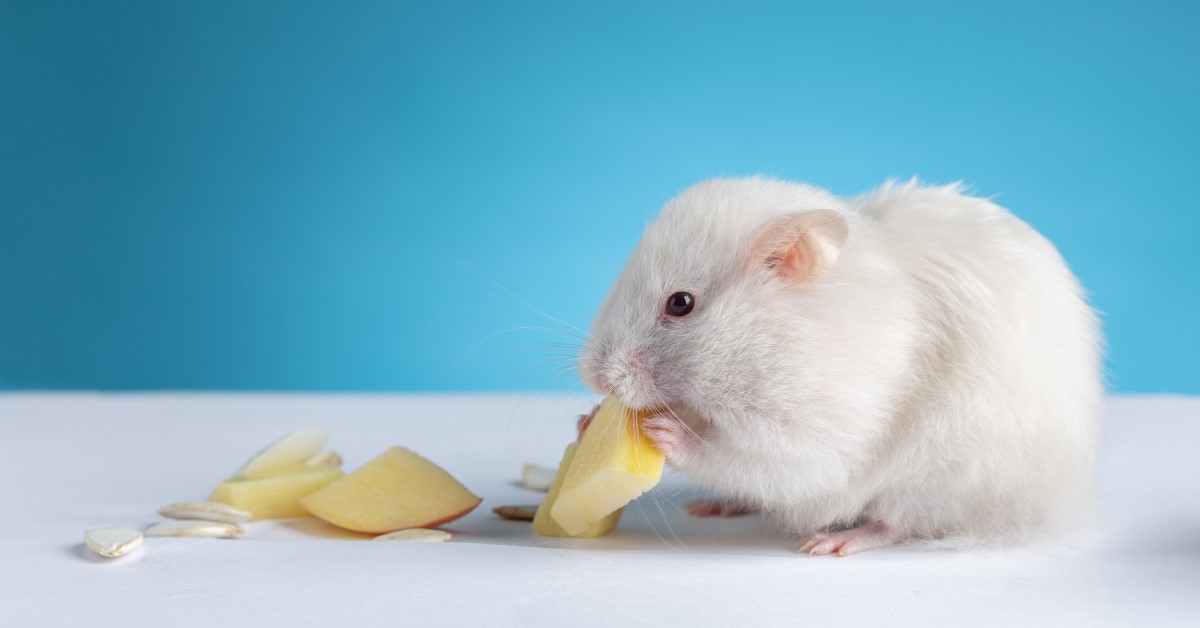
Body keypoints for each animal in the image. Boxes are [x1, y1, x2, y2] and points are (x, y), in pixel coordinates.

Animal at [578, 177, 1103, 555]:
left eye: (681, 303)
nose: (592, 376)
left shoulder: (815, 429)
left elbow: (744, 455)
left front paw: (663, 431)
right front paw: (587, 420)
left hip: (942, 478)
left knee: (897, 522)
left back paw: (829, 543)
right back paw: (712, 507)